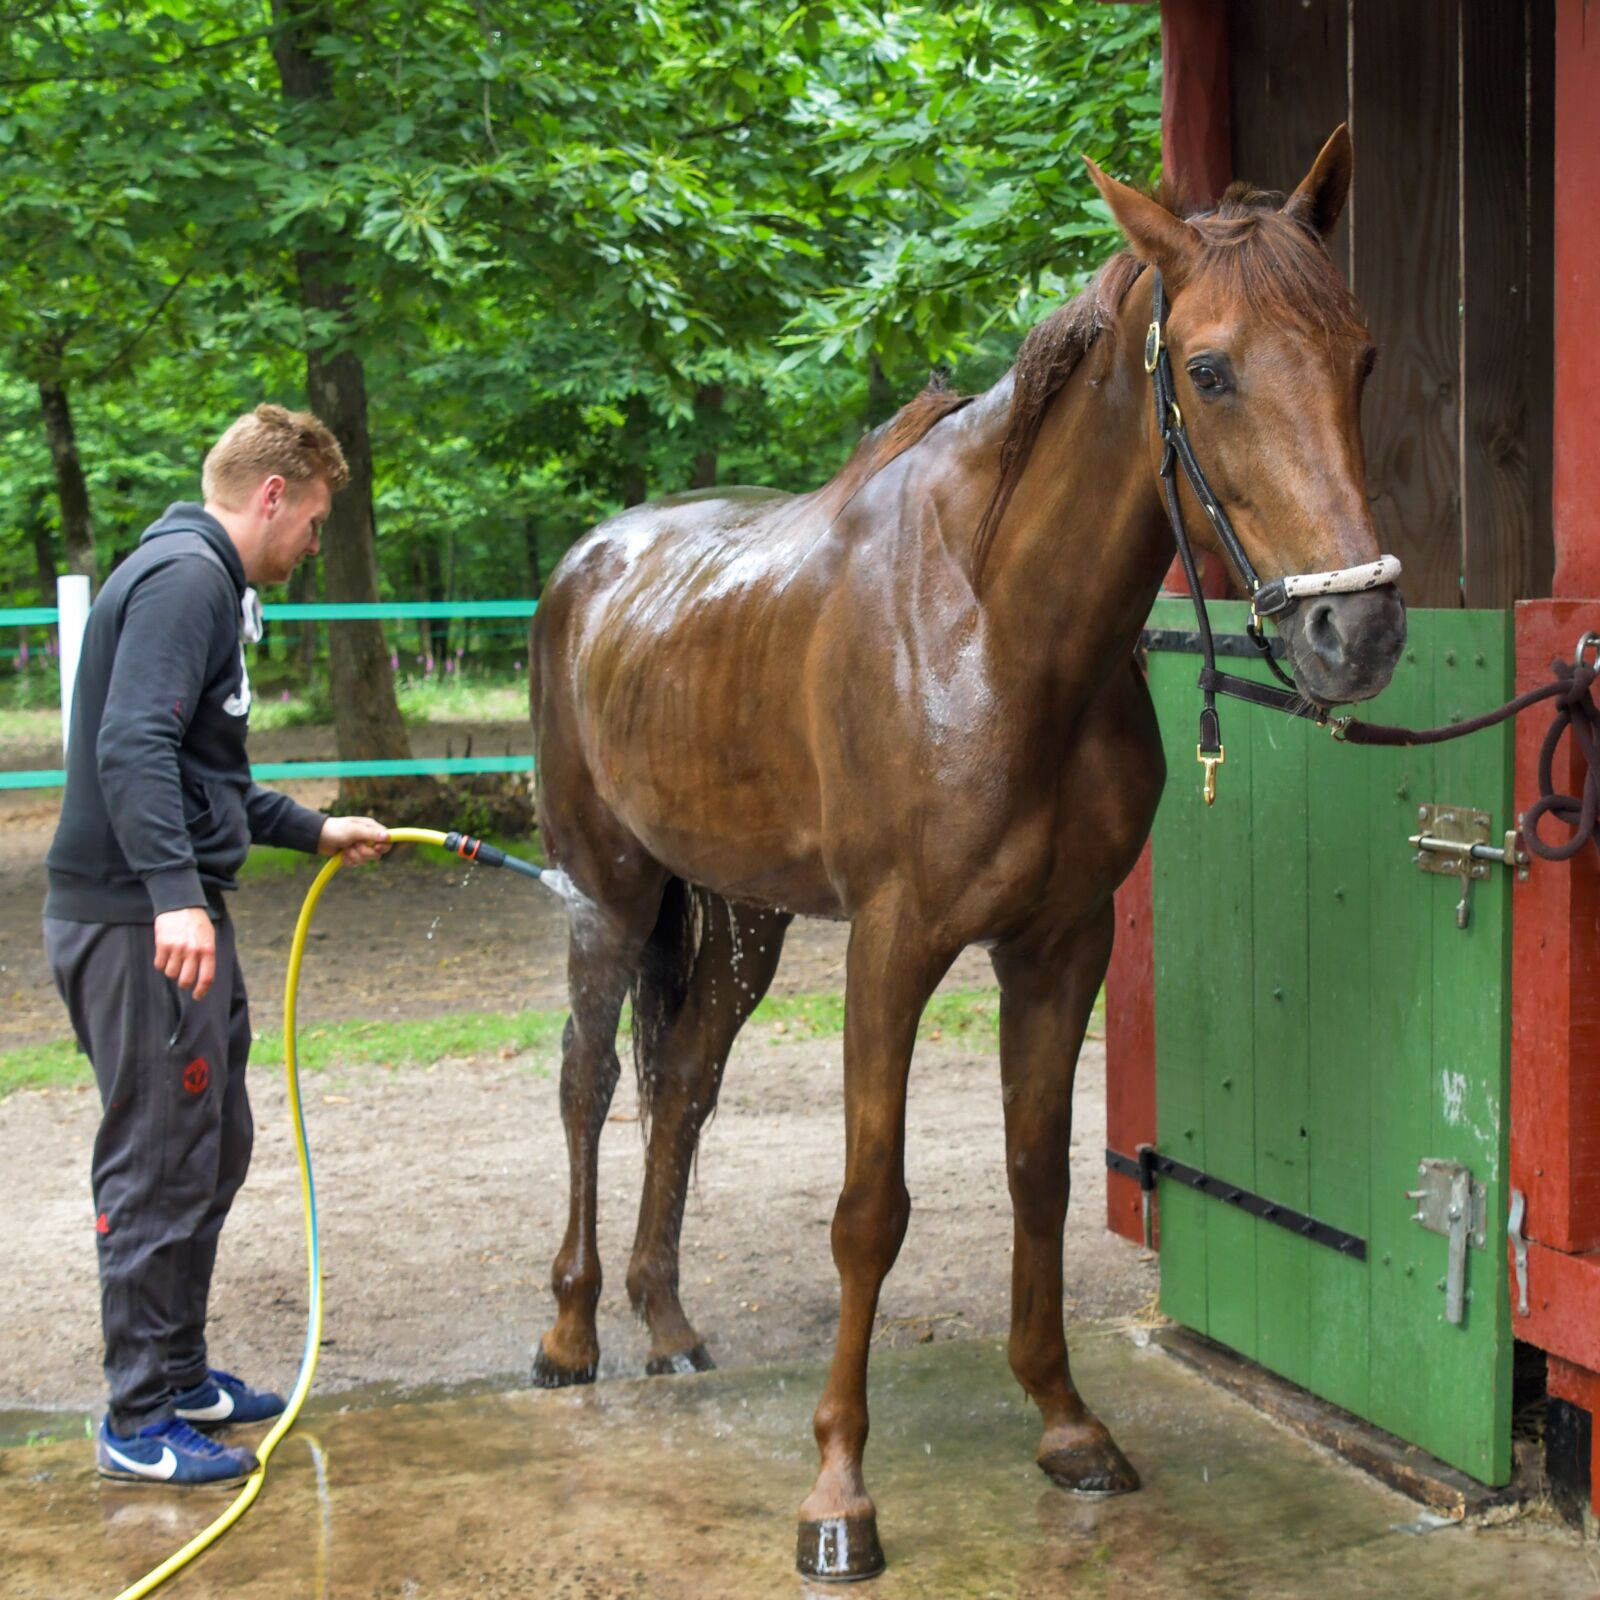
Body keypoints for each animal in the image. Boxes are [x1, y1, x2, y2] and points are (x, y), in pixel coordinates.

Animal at [527, 124, 1405, 1581]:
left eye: (1363, 357)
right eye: (1210, 368)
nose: (1362, 635)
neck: (999, 626)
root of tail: (589, 561)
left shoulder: (1059, 945)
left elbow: (1037, 1176)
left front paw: (1065, 1423)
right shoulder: (895, 943)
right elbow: (866, 1211)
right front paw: (838, 1494)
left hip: (741, 918)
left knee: (685, 1080)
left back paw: (666, 1322)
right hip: (607, 891)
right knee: (591, 1085)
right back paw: (571, 1331)